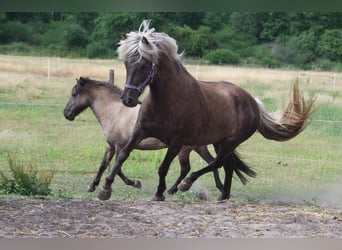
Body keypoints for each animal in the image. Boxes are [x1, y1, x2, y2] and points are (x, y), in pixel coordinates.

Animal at [62, 77, 255, 196]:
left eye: (74, 93)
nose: (66, 114)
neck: (116, 112)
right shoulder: (111, 146)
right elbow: (104, 166)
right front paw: (93, 186)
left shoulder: (119, 146)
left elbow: (116, 168)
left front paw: (133, 183)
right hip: (198, 147)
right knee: (211, 162)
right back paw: (214, 187)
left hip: (185, 149)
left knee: (195, 166)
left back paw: (177, 188)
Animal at [97, 20, 316, 202]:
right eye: (127, 64)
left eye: (144, 64)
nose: (128, 99)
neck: (167, 101)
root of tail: (252, 102)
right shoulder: (140, 131)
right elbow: (123, 155)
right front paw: (105, 189)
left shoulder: (176, 142)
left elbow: (163, 168)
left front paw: (159, 193)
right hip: (220, 142)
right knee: (227, 165)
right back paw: (223, 195)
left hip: (229, 142)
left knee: (217, 163)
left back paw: (187, 184)